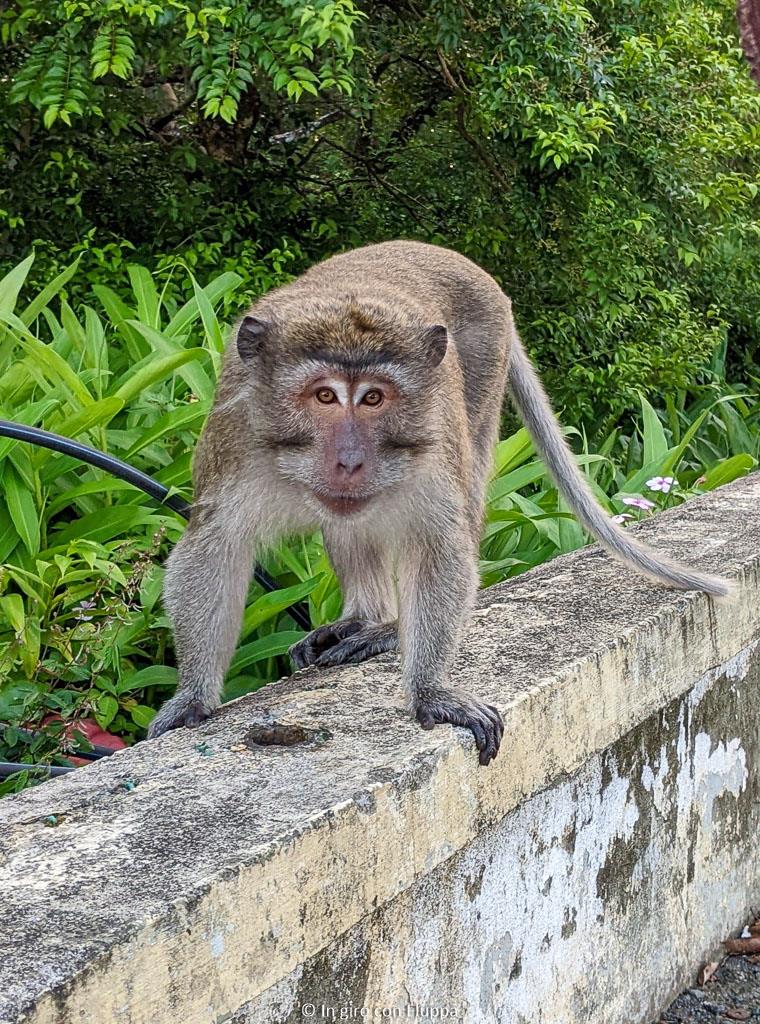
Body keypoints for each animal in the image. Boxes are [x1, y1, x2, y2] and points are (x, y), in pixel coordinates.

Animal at [147, 241, 731, 765]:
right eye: (324, 396)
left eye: (374, 398)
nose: (350, 460)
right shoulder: (235, 437)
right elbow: (216, 545)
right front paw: (192, 697)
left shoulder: (430, 446)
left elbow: (437, 547)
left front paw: (430, 691)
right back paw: (367, 618)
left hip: (483, 365)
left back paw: (382, 629)